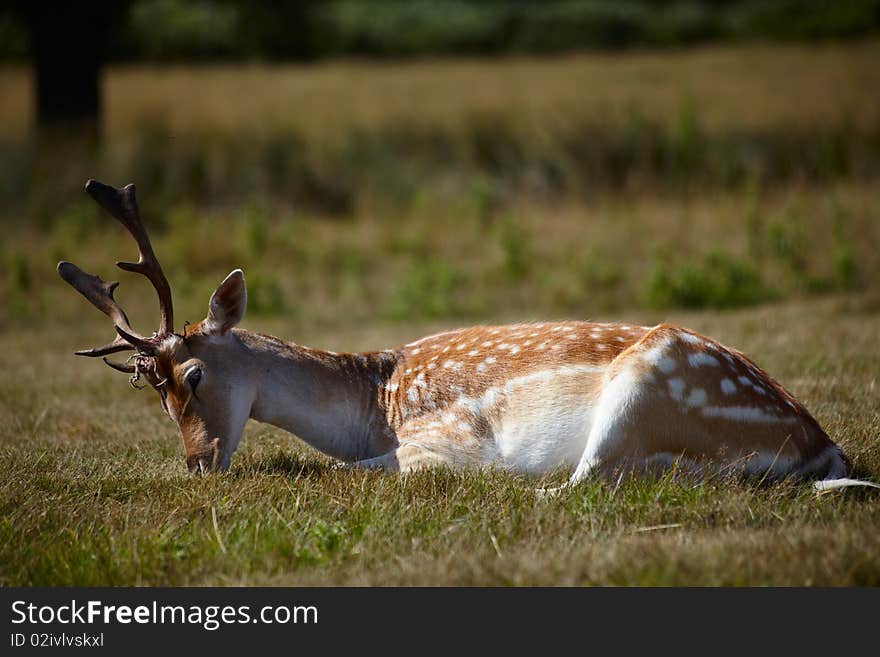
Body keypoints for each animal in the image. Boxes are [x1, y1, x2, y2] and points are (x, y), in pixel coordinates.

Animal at [58, 179, 876, 492]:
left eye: (194, 375)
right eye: (153, 393)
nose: (197, 464)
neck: (374, 401)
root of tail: (821, 445)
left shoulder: (444, 440)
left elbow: (365, 471)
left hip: (648, 382)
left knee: (585, 480)